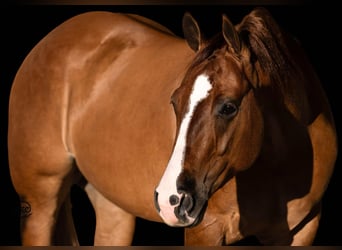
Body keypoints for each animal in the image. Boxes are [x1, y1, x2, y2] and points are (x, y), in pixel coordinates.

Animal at [7, 6, 336, 245]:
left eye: (228, 107)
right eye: (174, 103)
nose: (170, 200)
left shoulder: (300, 231)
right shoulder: (205, 229)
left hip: (113, 208)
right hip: (39, 204)